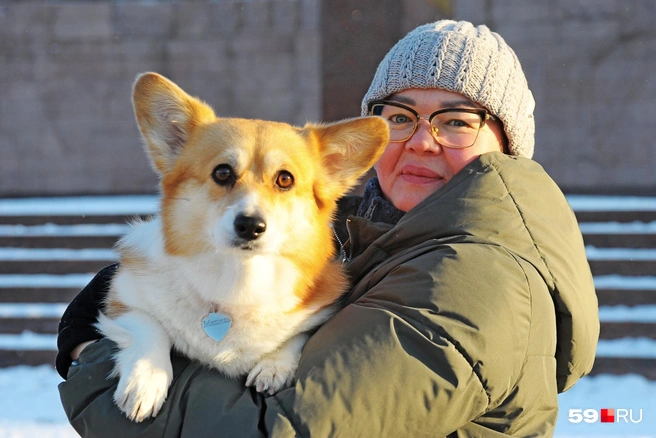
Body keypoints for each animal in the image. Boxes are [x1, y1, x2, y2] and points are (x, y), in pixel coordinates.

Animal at [97, 72, 390, 420]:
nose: (250, 225)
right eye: (222, 172)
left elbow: (298, 335)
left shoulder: (319, 311)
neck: (237, 279)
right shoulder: (122, 300)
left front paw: (274, 366)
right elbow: (148, 327)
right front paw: (145, 382)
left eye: (285, 179)